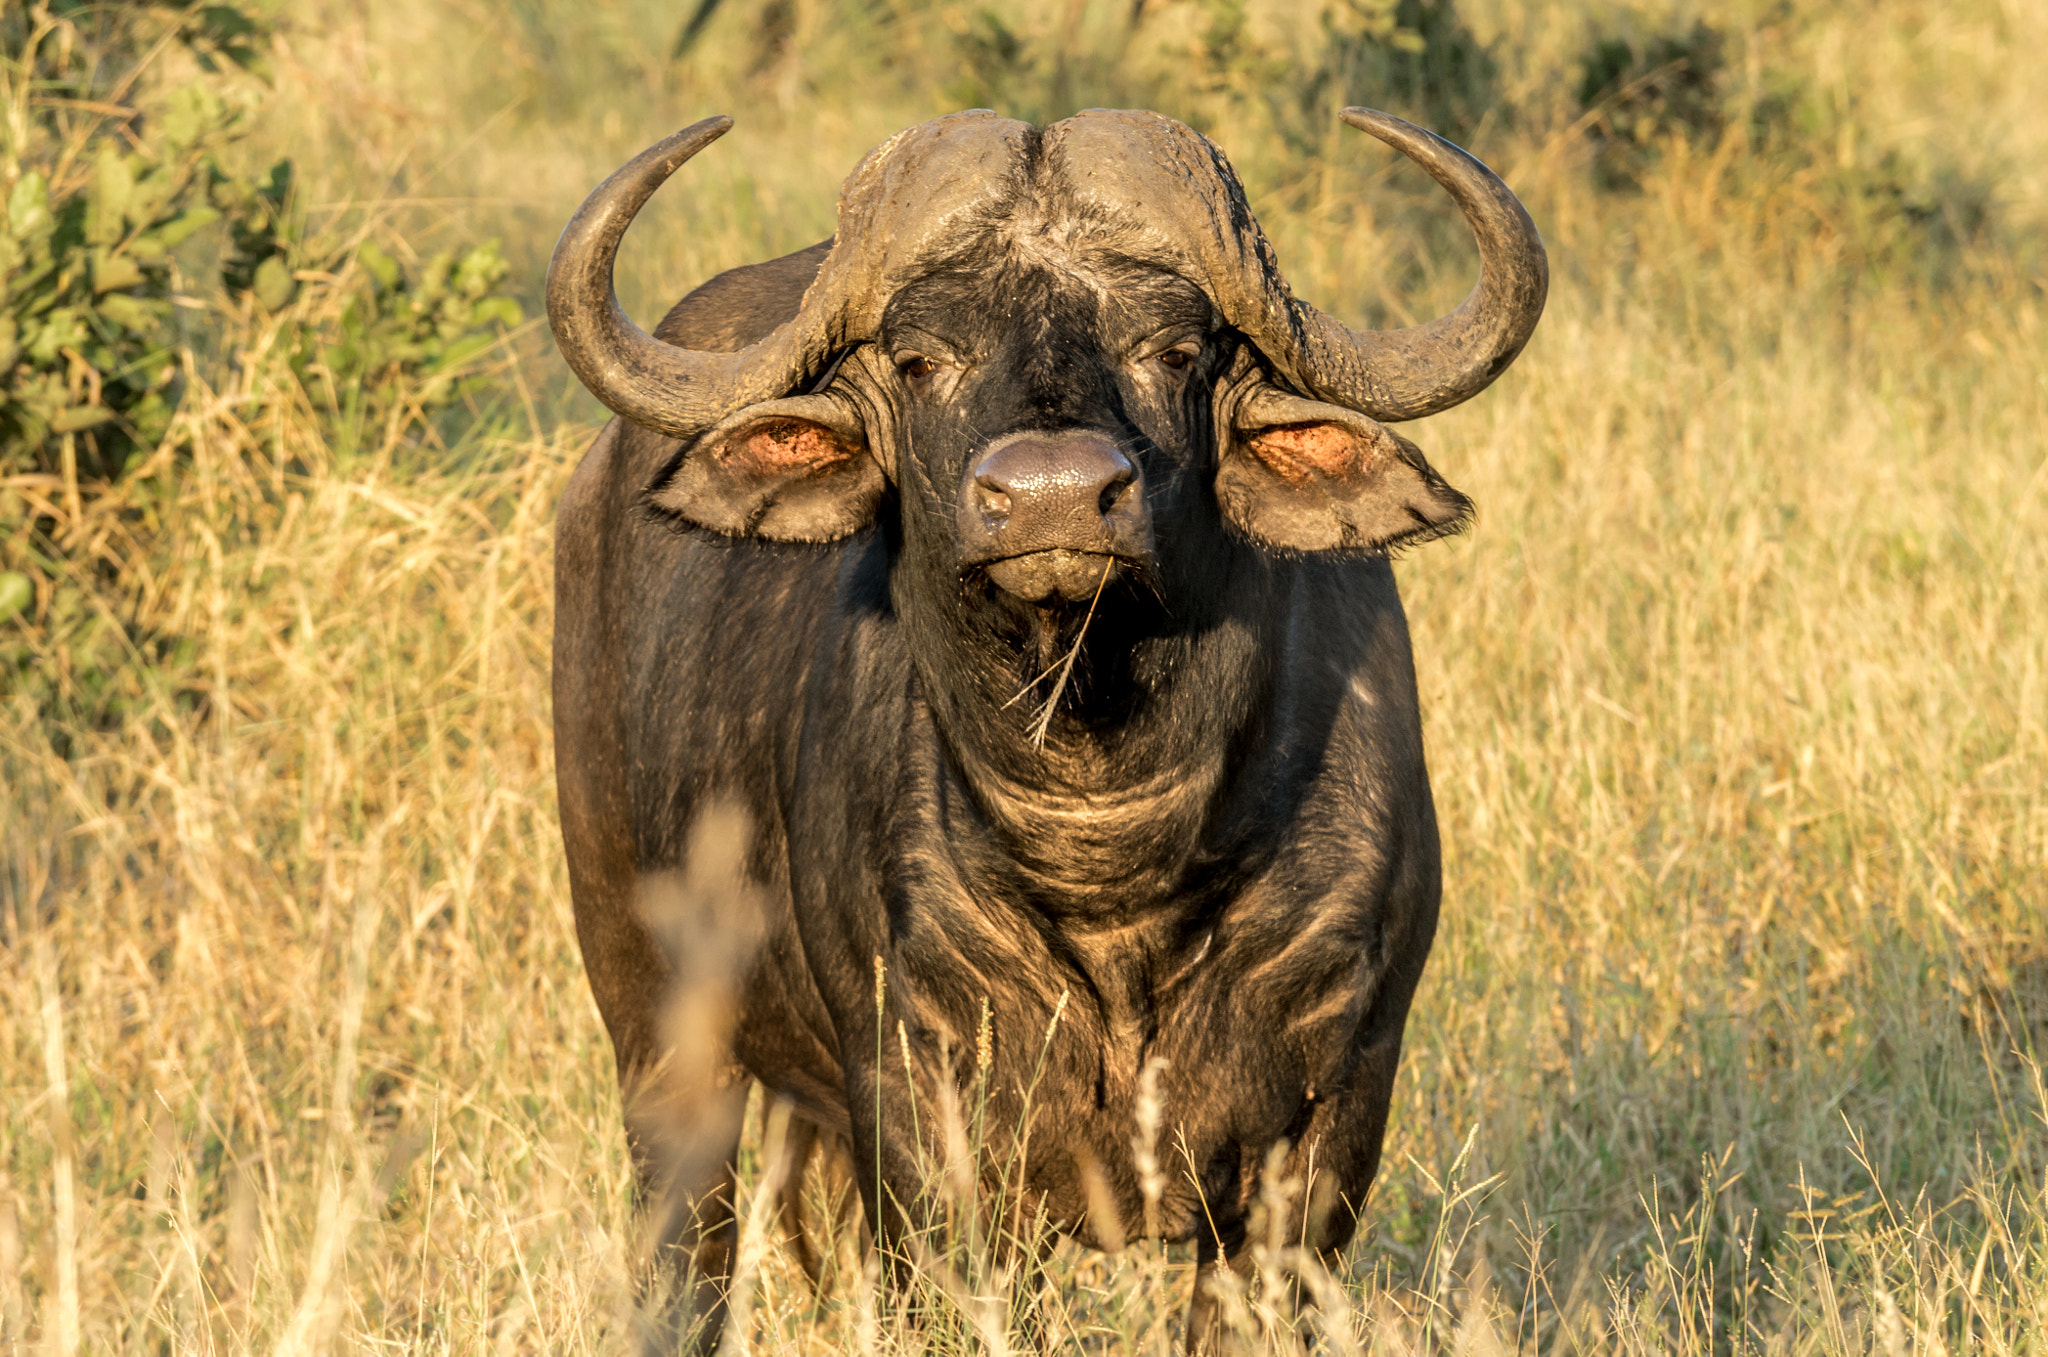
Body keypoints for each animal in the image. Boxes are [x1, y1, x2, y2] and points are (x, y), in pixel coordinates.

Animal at [546, 106, 1545, 1352]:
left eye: (1175, 350)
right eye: (919, 359)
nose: (1054, 496)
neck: (1111, 851)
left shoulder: (1325, 1131)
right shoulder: (923, 1131)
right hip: (658, 1032)